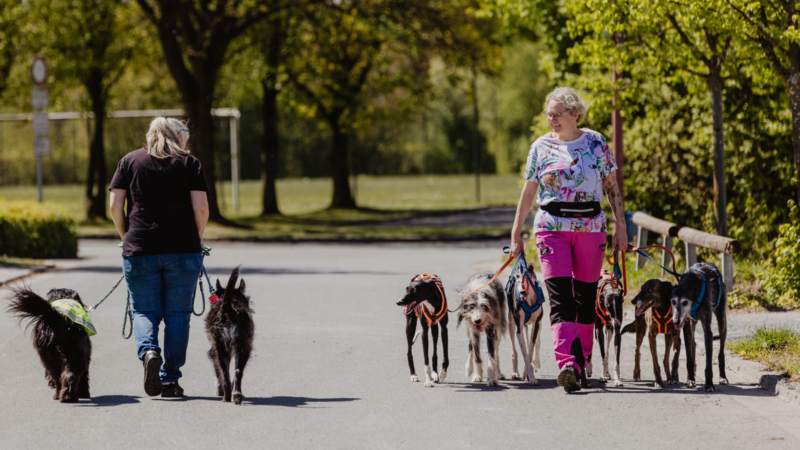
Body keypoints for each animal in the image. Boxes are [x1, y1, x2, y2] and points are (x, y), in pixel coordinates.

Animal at [206, 268, 253, 404]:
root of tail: (229, 309)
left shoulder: (213, 351)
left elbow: (218, 373)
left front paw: (219, 389)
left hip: (221, 348)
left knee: (225, 373)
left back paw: (226, 397)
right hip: (242, 347)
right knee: (237, 372)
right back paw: (236, 395)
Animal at [672, 262, 728, 392]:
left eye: (685, 302)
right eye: (673, 301)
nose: (676, 321)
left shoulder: (707, 331)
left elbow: (708, 362)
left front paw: (709, 384)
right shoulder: (686, 325)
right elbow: (689, 357)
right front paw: (690, 379)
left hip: (722, 321)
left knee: (721, 352)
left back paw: (723, 377)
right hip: (692, 324)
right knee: (693, 344)